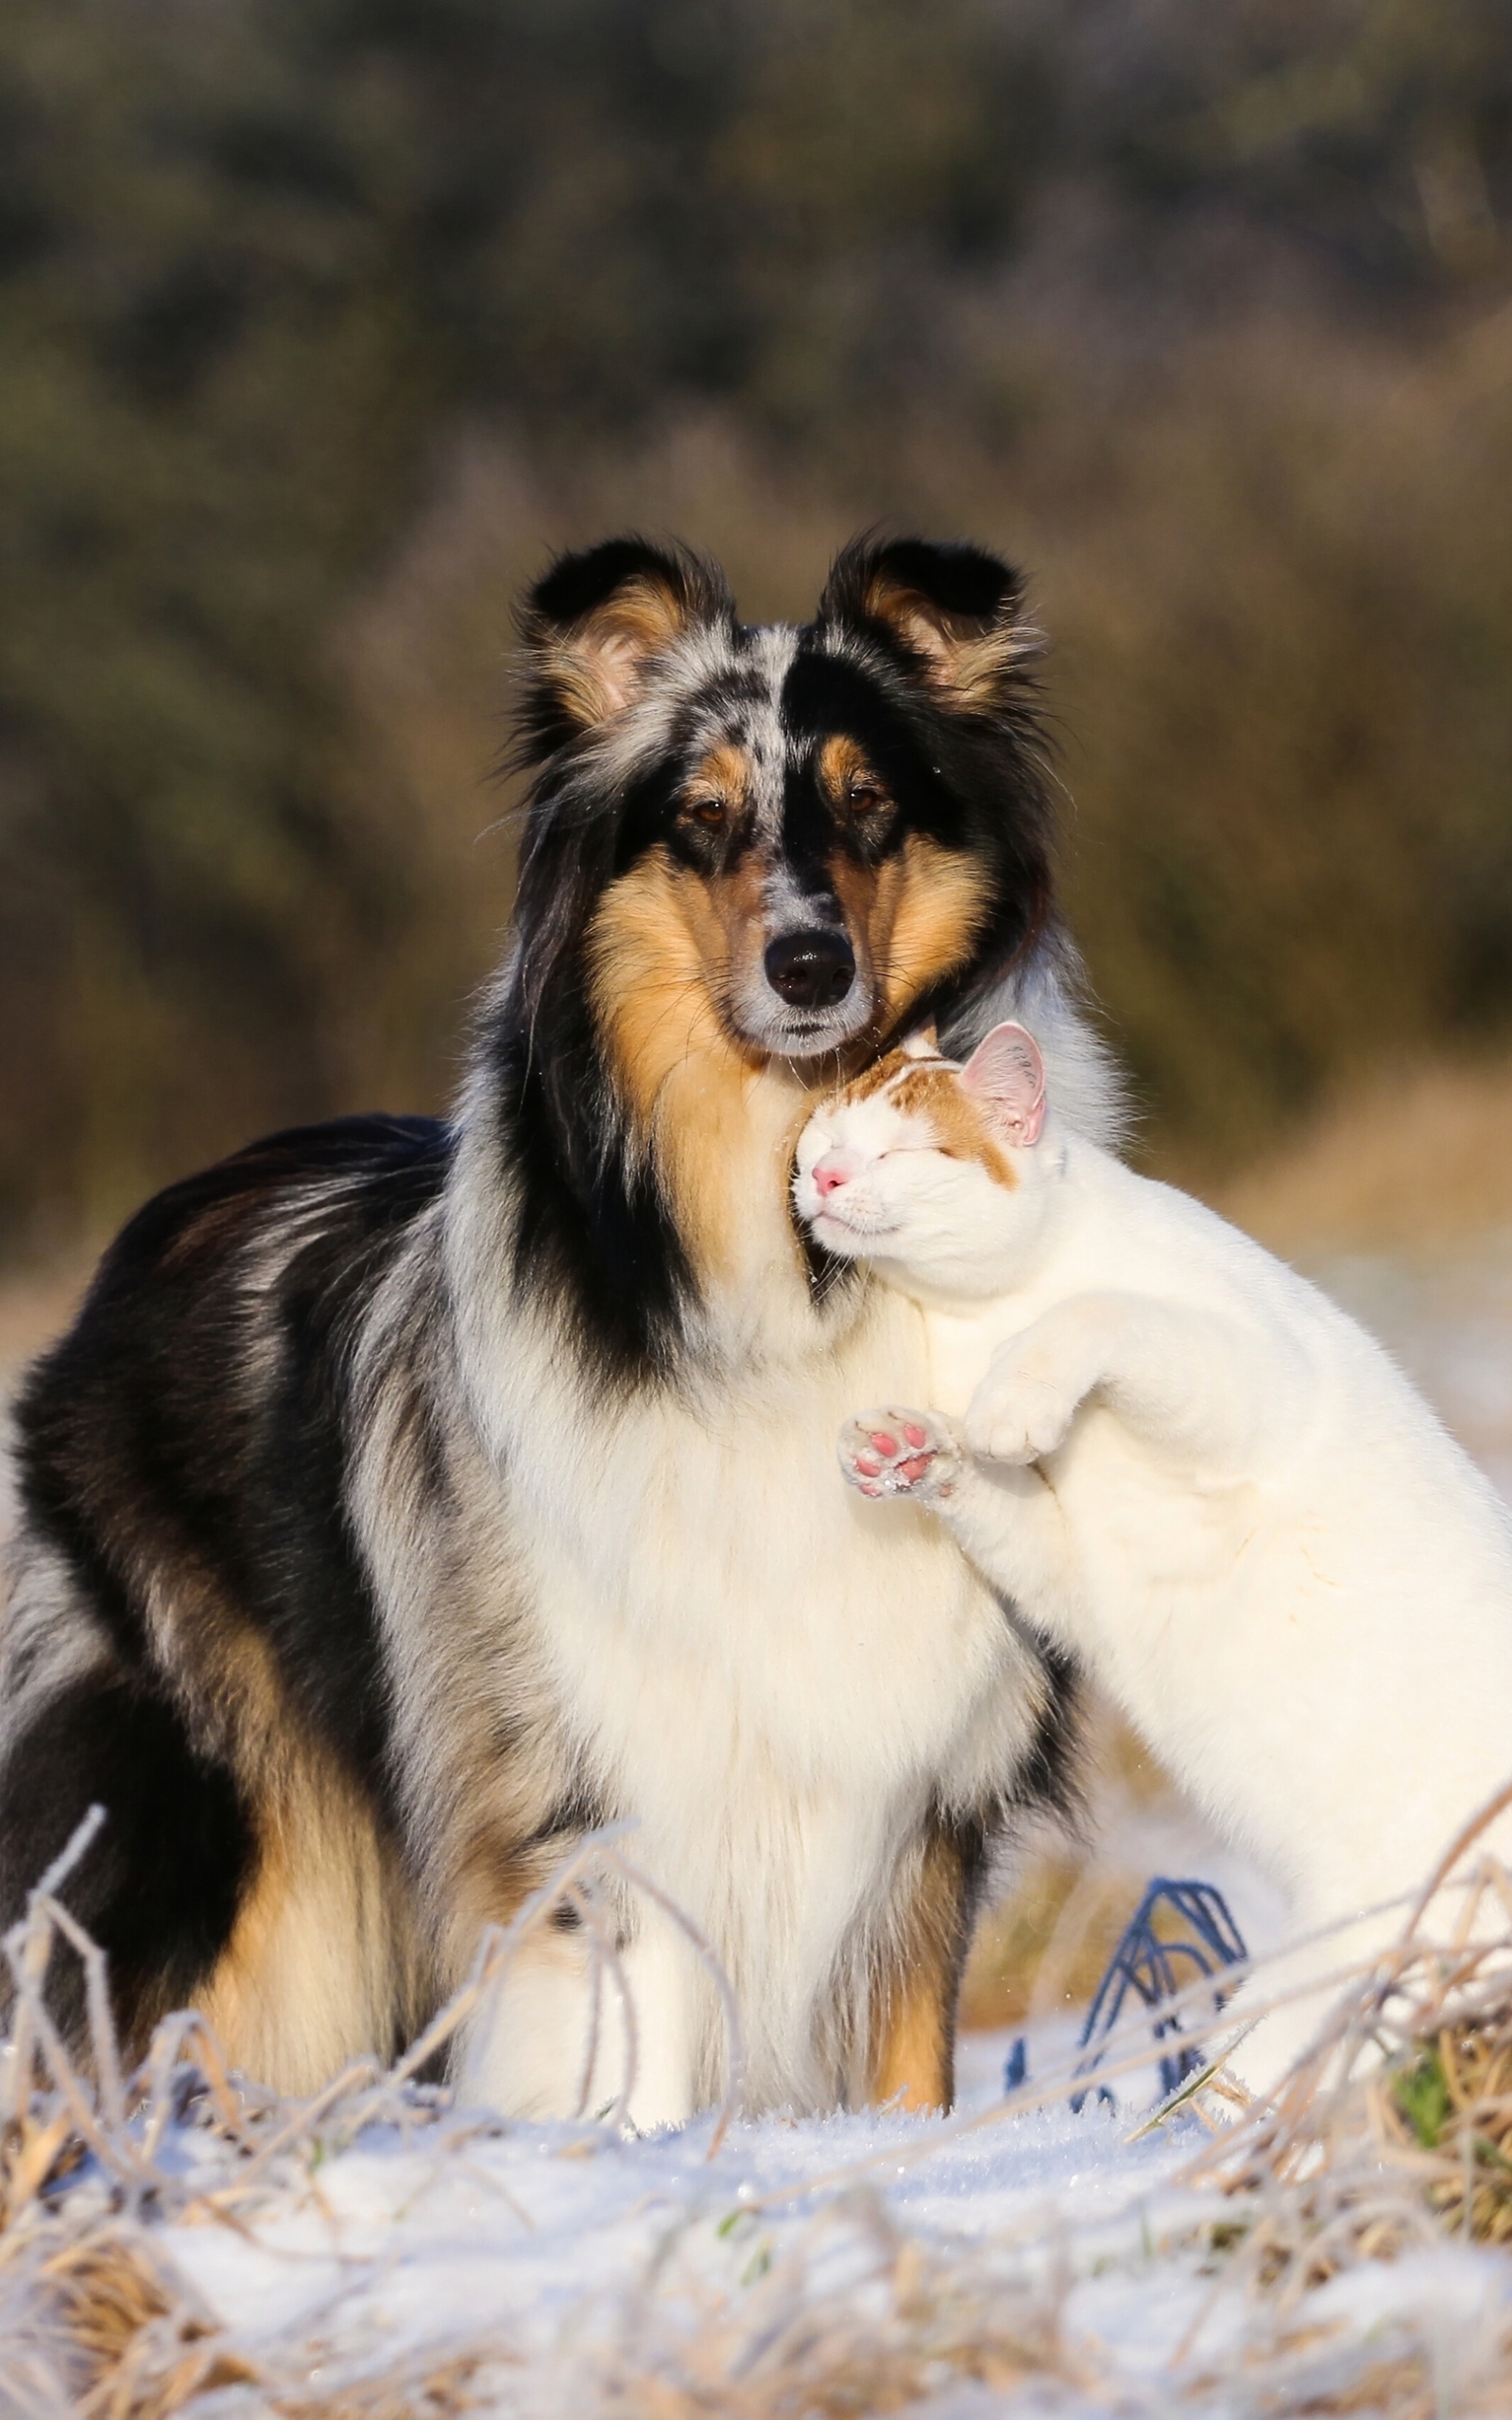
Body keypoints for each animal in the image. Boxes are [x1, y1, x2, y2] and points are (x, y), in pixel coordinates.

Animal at [0, 534, 1108, 2119]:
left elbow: (909, 2074)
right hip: (246, 1866)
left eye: (870, 805)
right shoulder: (601, 1801)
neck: (780, 1253)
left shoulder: (918, 1811)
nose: (812, 967)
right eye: (701, 819)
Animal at [783, 1021, 1509, 2100]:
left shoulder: (1241, 1381)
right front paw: (907, 1450)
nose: (823, 1174)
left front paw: (1015, 1402)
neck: (981, 1321)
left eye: (901, 1148)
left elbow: (1102, 1317)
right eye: (819, 1137)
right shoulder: (1070, 1573)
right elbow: (991, 1496)